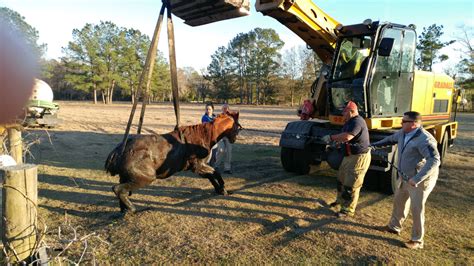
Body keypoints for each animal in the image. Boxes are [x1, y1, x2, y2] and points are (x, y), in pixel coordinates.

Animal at [106, 111, 241, 213]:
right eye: (238, 127)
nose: (234, 140)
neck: (204, 136)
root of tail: (120, 150)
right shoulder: (199, 166)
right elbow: (216, 173)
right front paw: (223, 189)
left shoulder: (198, 168)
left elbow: (211, 176)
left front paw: (219, 189)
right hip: (145, 178)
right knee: (118, 189)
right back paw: (133, 209)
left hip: (126, 177)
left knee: (122, 192)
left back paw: (125, 211)